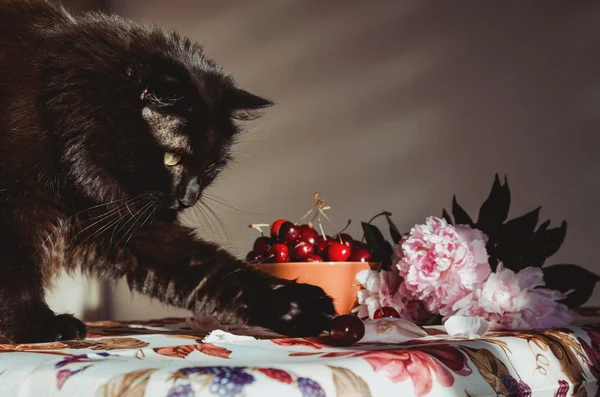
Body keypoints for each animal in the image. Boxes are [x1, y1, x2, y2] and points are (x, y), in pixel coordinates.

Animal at [0, 0, 336, 342]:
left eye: (211, 166)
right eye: (172, 158)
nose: (189, 197)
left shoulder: (129, 222)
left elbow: (211, 272)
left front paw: (296, 307)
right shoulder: (16, 204)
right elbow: (17, 272)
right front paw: (35, 325)